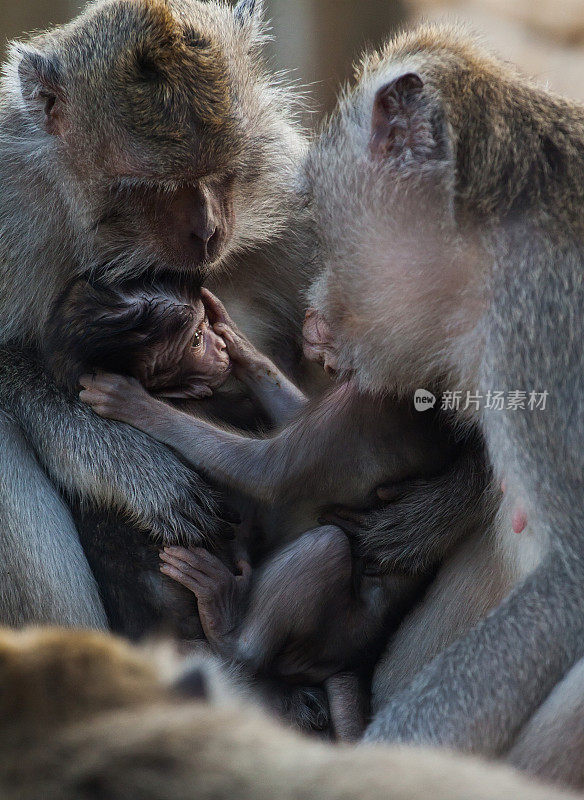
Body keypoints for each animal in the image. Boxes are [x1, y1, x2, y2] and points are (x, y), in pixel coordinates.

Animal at [0, 0, 314, 628]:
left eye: (224, 173)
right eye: (155, 189)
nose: (209, 232)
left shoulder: (289, 185)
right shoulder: (9, 198)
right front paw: (140, 468)